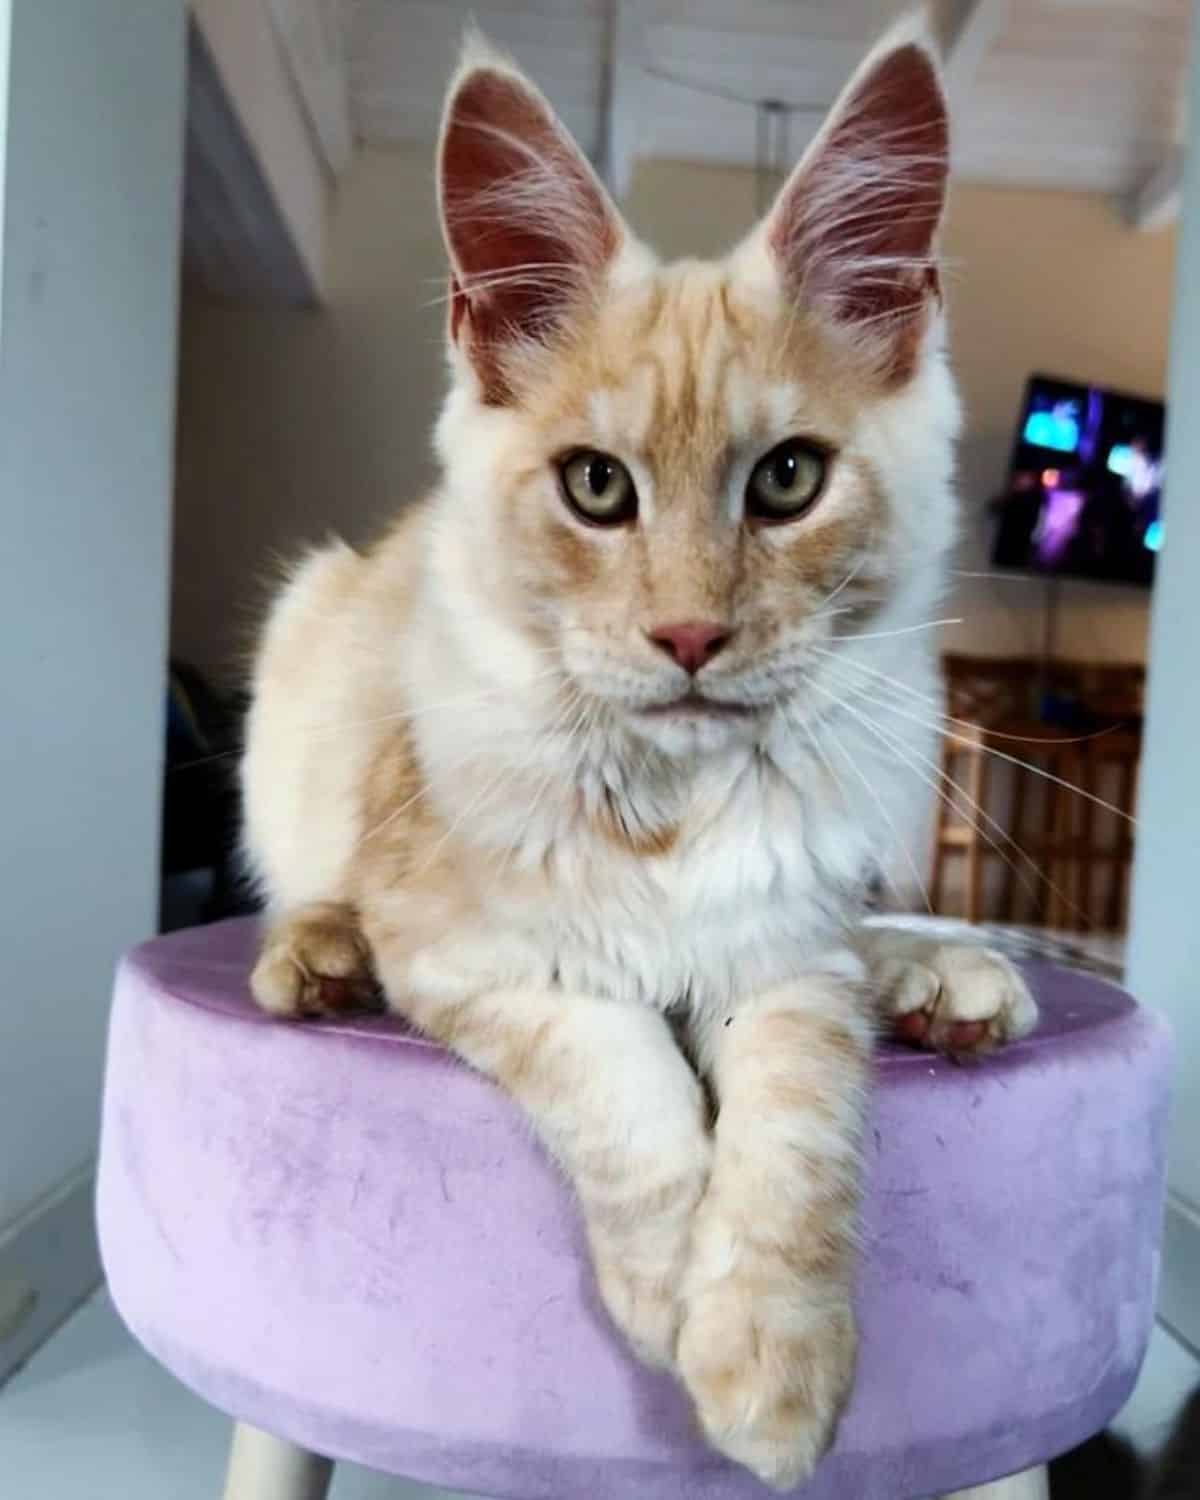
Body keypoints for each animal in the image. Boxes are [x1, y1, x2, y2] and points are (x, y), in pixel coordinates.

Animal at [238, 11, 1038, 1488]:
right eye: (597, 488)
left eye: (788, 479)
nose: (687, 636)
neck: (678, 802)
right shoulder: (482, 958)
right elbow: (631, 1087)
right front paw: (672, 1288)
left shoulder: (787, 956)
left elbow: (795, 1127)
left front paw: (771, 1356)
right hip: (303, 651)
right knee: (309, 893)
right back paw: (316, 958)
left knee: (873, 943)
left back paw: (945, 976)